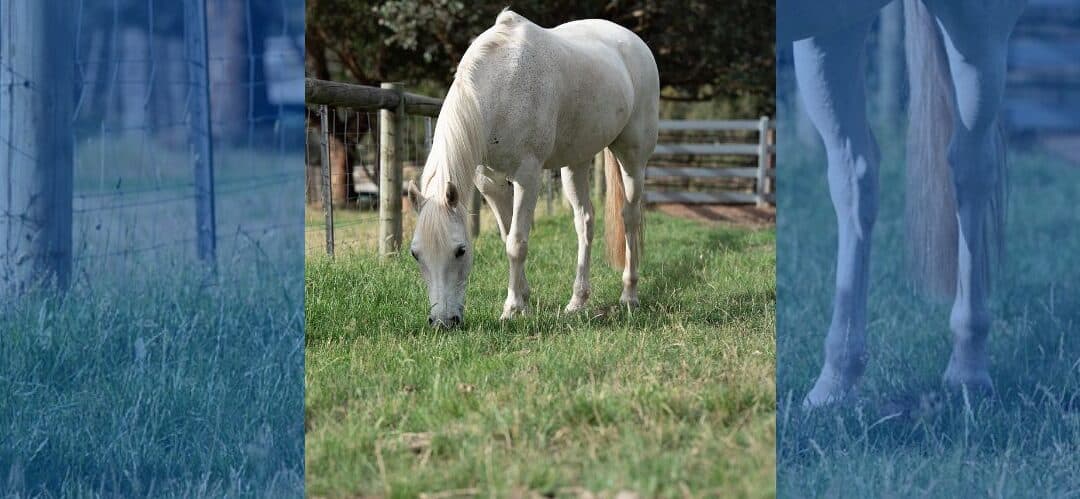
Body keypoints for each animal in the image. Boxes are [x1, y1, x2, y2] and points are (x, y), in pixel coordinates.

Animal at [406, 10, 656, 328]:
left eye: (461, 250)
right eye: (415, 254)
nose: (442, 322)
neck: (503, 85)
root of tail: (634, 42)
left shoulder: (527, 178)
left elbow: (517, 242)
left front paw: (512, 308)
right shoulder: (491, 183)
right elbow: (507, 238)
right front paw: (524, 299)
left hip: (632, 157)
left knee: (630, 218)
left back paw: (629, 295)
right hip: (575, 163)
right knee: (585, 221)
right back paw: (577, 301)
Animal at [781, 0, 1023, 408]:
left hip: (978, 26)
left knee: (972, 169)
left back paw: (968, 373)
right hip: (831, 29)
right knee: (855, 176)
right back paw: (835, 384)